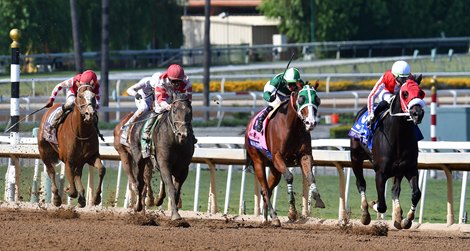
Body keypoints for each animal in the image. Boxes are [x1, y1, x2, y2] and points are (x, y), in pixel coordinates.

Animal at [244, 83, 324, 227]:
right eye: (301, 99)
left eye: (317, 99)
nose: (311, 122)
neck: (293, 127)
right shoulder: (277, 157)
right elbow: (289, 176)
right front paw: (292, 213)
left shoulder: (305, 156)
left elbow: (310, 176)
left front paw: (318, 199)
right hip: (258, 161)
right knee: (265, 189)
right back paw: (275, 217)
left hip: (274, 169)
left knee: (267, 190)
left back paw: (266, 218)